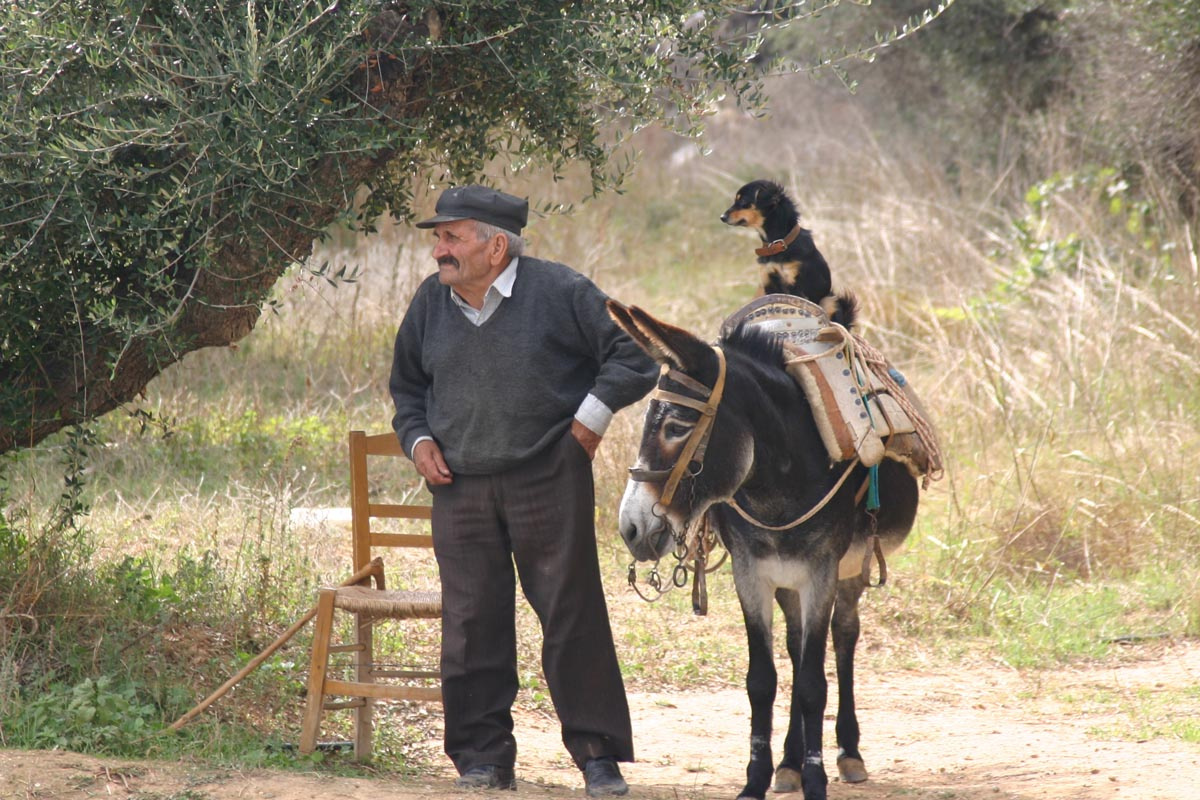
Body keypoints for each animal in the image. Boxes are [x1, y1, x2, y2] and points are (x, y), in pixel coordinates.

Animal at [720, 178, 835, 307]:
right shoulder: (768, 281)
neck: (776, 245)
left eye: (743, 200)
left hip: (830, 300)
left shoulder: (796, 287)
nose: (722, 217)